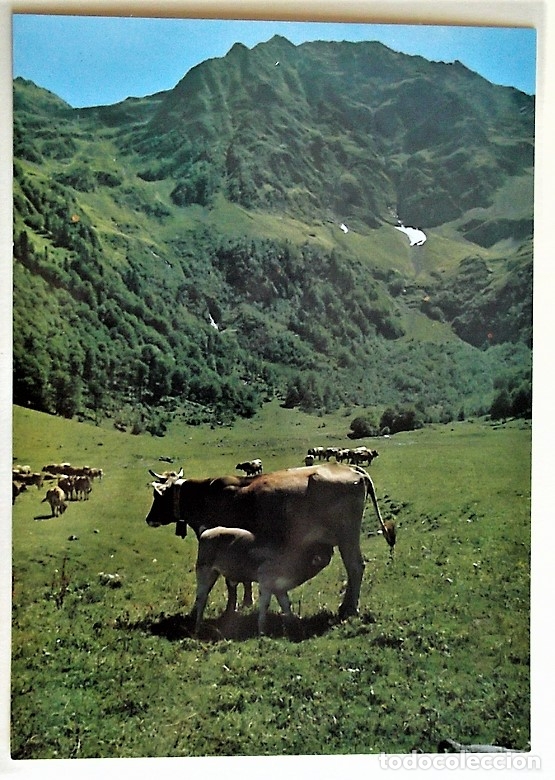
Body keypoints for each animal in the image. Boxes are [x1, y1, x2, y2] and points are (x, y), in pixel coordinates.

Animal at [145, 462, 385, 623]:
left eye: (157, 497)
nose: (149, 519)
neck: (207, 495)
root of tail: (351, 469)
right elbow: (243, 580)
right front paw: (246, 602)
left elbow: (231, 582)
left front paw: (232, 609)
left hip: (347, 537)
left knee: (355, 567)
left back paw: (349, 608)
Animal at [193, 527, 334, 634]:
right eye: (315, 547)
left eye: (329, 548)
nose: (324, 559)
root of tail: (206, 532)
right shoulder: (265, 583)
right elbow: (265, 605)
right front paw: (262, 630)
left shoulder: (280, 588)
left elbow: (286, 606)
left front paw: (292, 626)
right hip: (204, 572)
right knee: (201, 598)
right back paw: (197, 626)